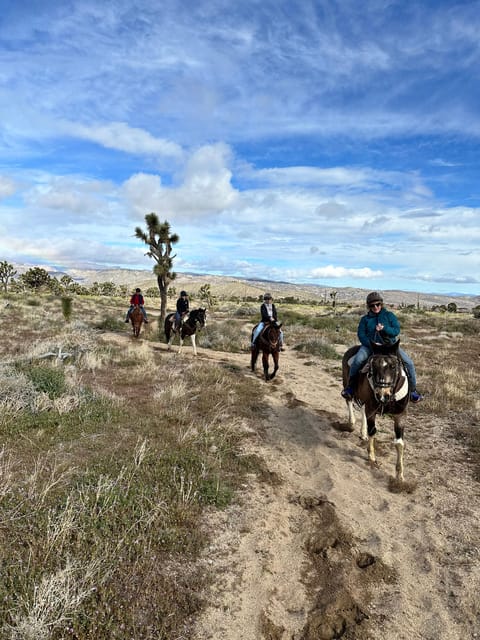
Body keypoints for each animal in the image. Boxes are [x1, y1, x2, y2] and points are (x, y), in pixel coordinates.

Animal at [342, 340, 408, 480]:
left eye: (393, 366)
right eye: (373, 366)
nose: (382, 394)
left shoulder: (401, 414)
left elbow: (399, 443)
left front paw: (400, 475)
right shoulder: (371, 409)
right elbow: (372, 430)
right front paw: (371, 456)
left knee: (362, 409)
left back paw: (363, 433)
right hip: (347, 384)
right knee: (349, 401)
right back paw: (351, 423)